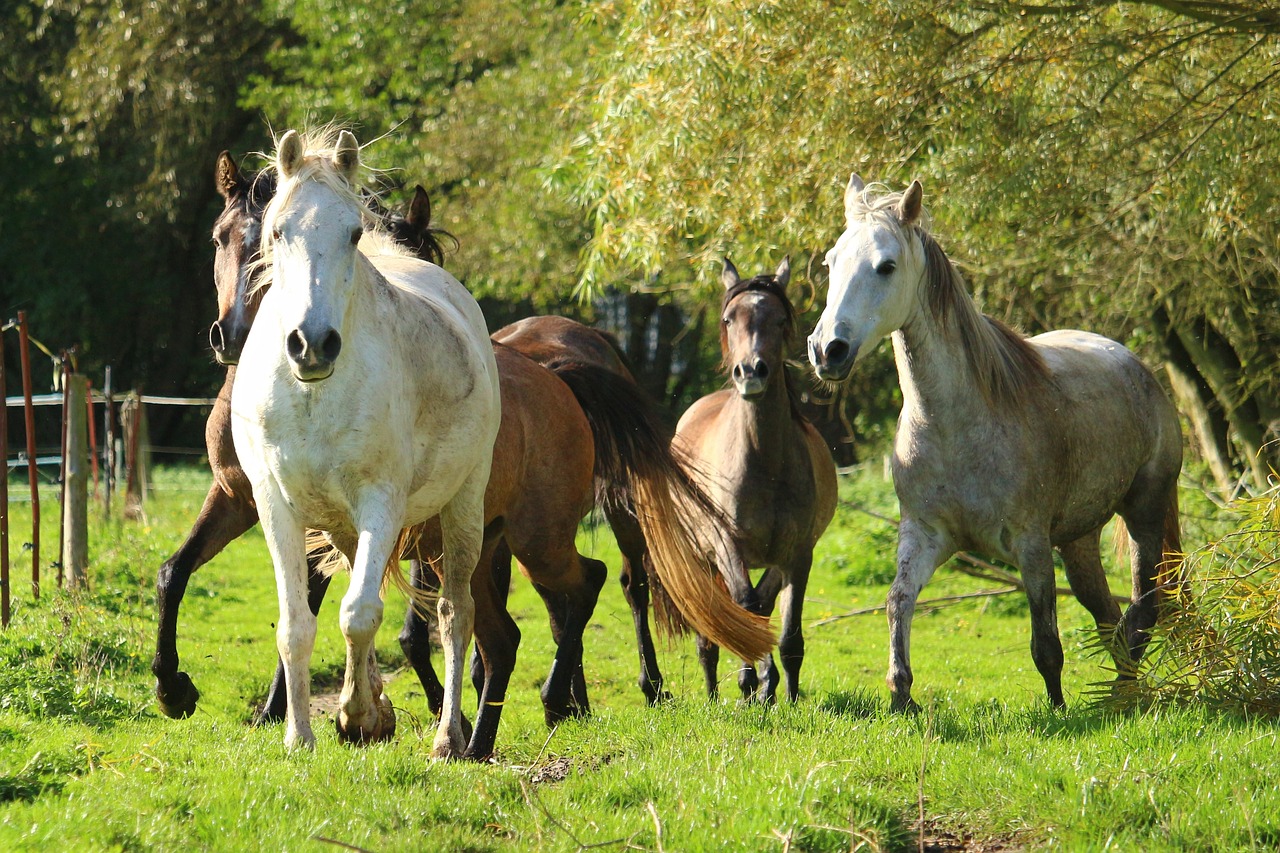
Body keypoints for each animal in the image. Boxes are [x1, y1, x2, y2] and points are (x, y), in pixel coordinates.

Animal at [230, 126, 499, 753]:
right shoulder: (275, 504)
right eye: (278, 231)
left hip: (463, 506)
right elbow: (296, 626)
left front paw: (355, 716)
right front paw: (302, 735)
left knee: (455, 612)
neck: (312, 396)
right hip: (347, 525)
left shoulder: (382, 500)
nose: (312, 344)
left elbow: (358, 614)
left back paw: (447, 739)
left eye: (352, 233)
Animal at [675, 256, 834, 701]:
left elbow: (789, 634)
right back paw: (719, 692)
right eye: (729, 319)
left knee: (761, 608)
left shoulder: (798, 554)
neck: (766, 466)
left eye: (779, 319)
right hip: (704, 555)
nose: (751, 373)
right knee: (717, 624)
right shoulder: (729, 546)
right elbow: (742, 607)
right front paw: (752, 683)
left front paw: (787, 697)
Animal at [808, 178, 1177, 712]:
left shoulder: (1030, 544)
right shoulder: (924, 535)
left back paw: (1124, 696)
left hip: (1144, 515)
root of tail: (1137, 366)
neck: (954, 428)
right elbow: (898, 601)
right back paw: (1121, 692)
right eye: (831, 262)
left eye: (886, 265)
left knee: (1143, 609)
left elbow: (1046, 641)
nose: (827, 350)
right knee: (1110, 615)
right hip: (1079, 539)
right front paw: (901, 697)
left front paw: (1058, 710)